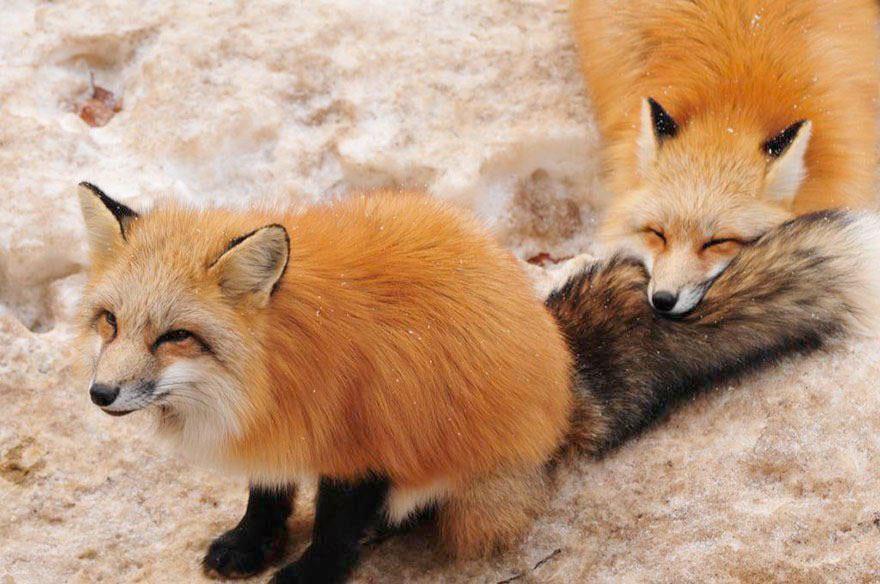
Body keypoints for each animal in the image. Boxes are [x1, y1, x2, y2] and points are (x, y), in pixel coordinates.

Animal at [75, 181, 880, 583]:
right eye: (110, 323)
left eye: (175, 336)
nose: (99, 396)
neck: (274, 374)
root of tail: (564, 379)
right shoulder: (282, 433)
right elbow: (267, 495)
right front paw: (251, 544)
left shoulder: (366, 434)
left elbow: (334, 528)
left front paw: (306, 578)